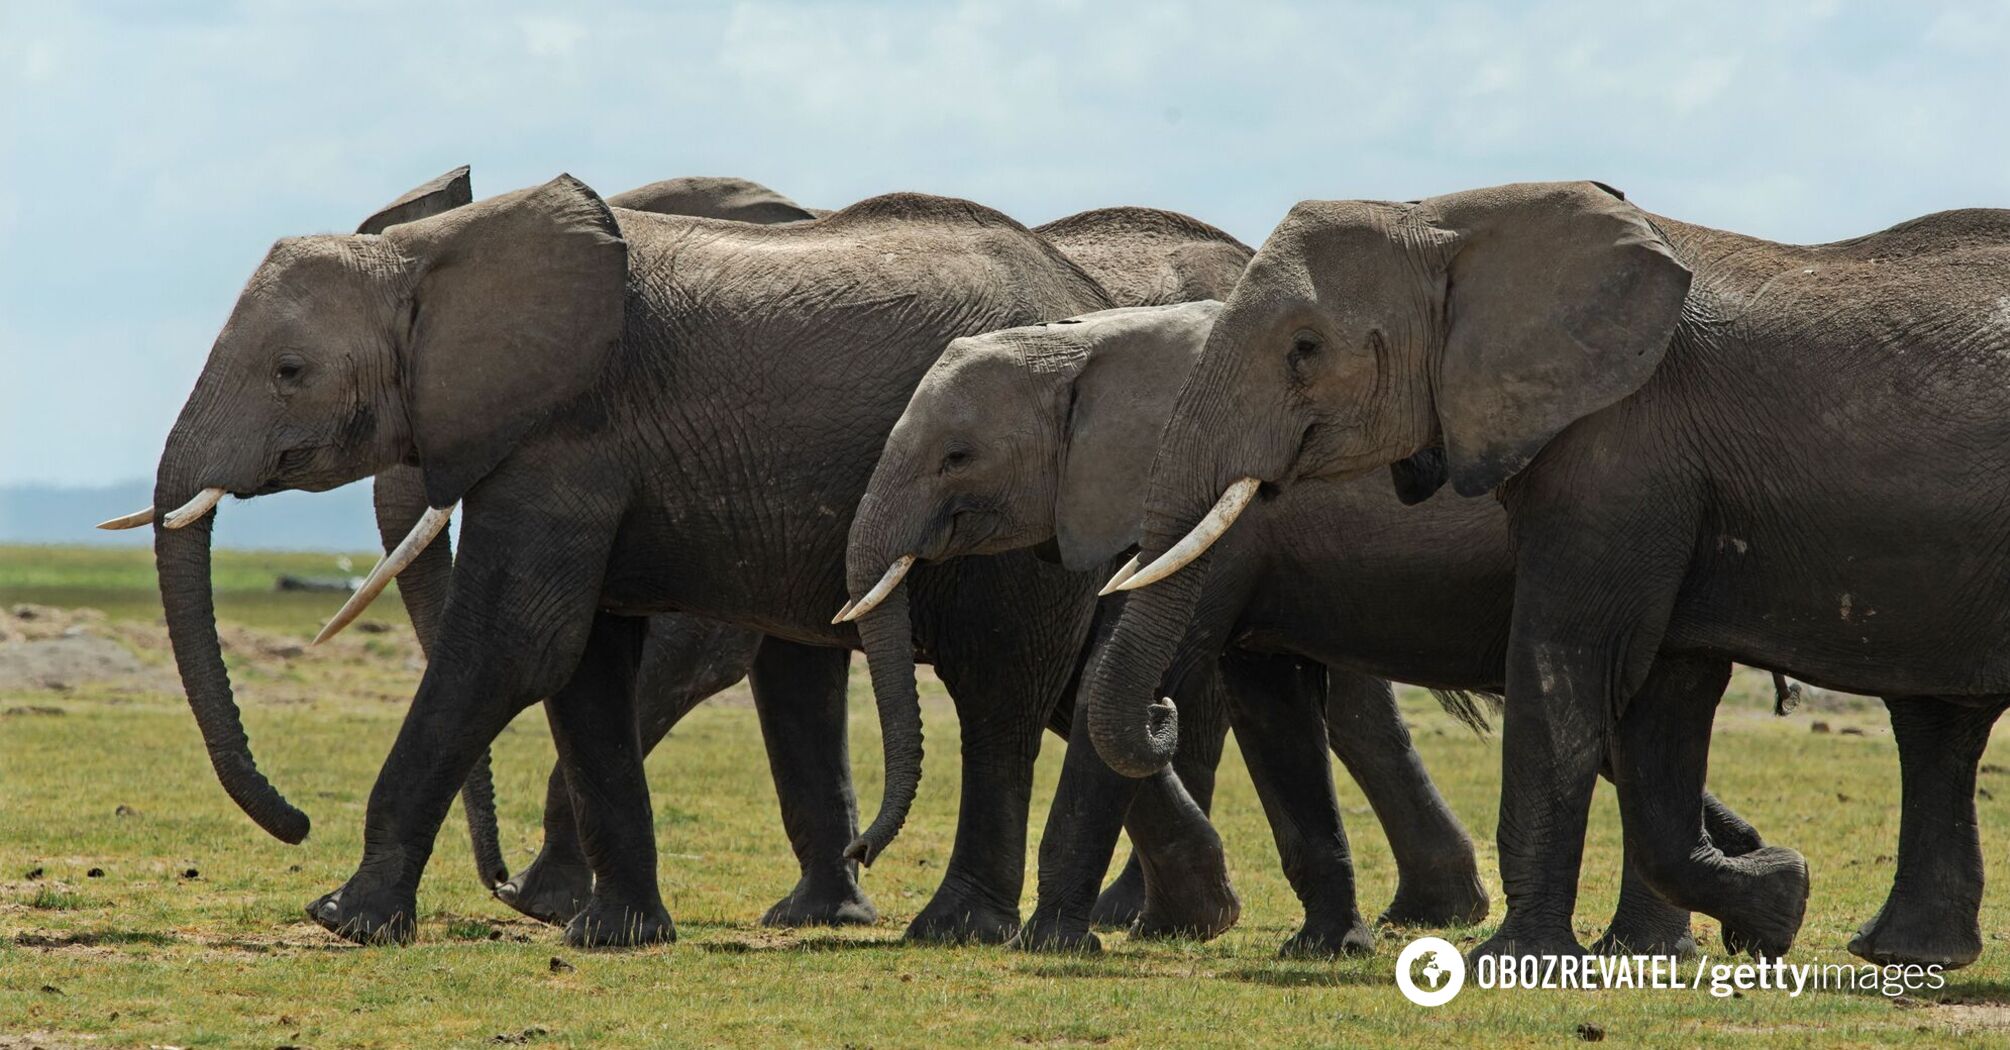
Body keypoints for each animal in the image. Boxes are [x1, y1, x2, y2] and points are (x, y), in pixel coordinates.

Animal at [145, 169, 1254, 941]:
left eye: (290, 371)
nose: (291, 821)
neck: (440, 250)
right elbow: (583, 661)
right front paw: (612, 934)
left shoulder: (570, 438)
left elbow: (515, 645)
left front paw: (347, 918)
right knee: (1082, 692)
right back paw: (1191, 912)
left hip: (1019, 512)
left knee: (1002, 692)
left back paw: (961, 929)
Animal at [856, 295, 1768, 957]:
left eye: (957, 458)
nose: (860, 853)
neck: (1086, 342)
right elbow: (1270, 708)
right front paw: (1327, 949)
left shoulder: (1223, 522)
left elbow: (1120, 684)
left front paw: (1051, 947)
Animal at [1101, 180, 2010, 965]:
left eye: (1304, 348)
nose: (1161, 713)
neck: (1451, 220)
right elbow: (1662, 699)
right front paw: (1778, 902)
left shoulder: (1624, 450)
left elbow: (1562, 667)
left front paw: (1511, 961)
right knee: (1940, 725)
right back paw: (1900, 954)